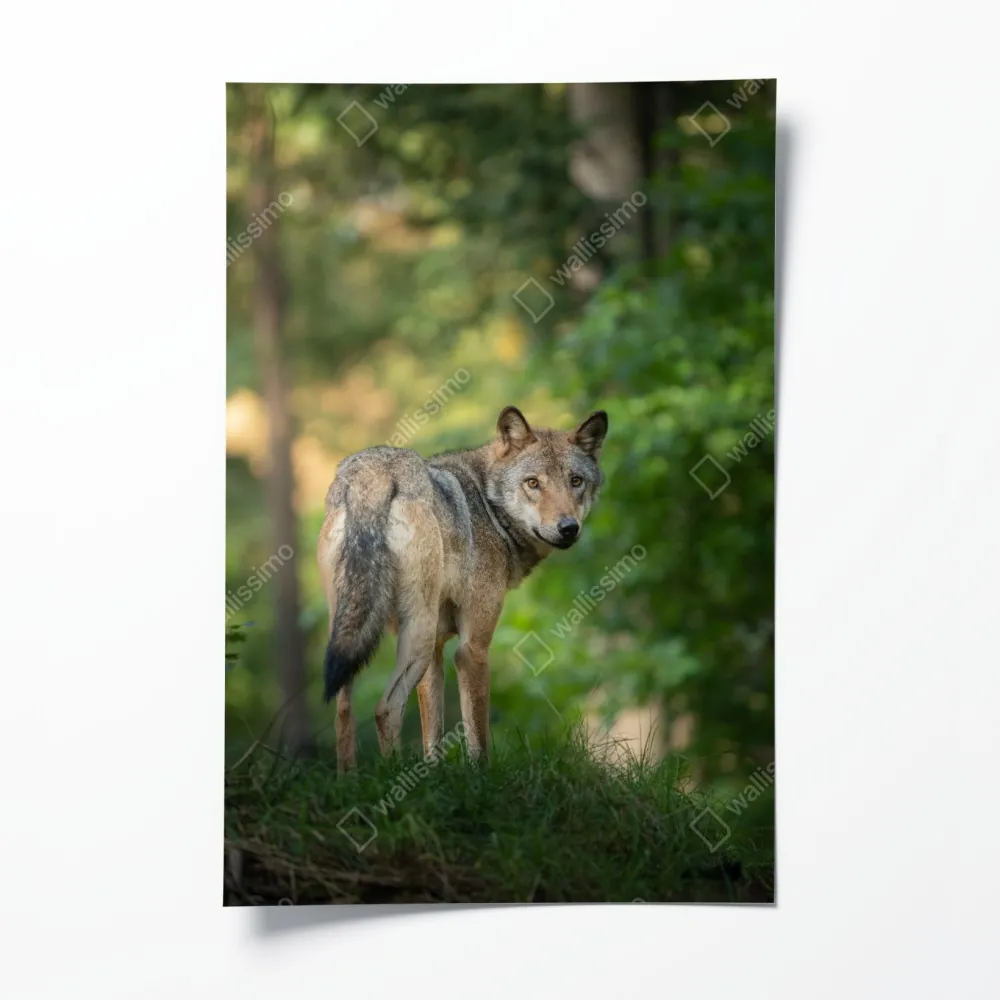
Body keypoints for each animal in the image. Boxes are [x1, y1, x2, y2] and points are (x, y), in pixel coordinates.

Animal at [316, 405, 608, 770]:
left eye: (576, 481)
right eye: (533, 483)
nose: (568, 528)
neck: (488, 506)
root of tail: (375, 473)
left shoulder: (437, 652)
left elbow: (433, 734)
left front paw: (432, 773)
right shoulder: (472, 648)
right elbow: (477, 735)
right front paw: (480, 777)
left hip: (354, 634)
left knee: (343, 712)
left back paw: (350, 778)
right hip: (418, 636)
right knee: (385, 709)